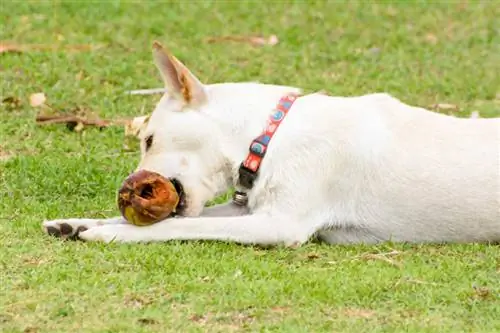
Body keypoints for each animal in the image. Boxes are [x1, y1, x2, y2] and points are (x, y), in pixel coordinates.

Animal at [42, 41, 500, 245]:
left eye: (149, 139)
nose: (129, 188)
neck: (270, 135)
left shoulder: (279, 223)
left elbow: (179, 223)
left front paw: (112, 235)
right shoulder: (250, 208)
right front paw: (77, 223)